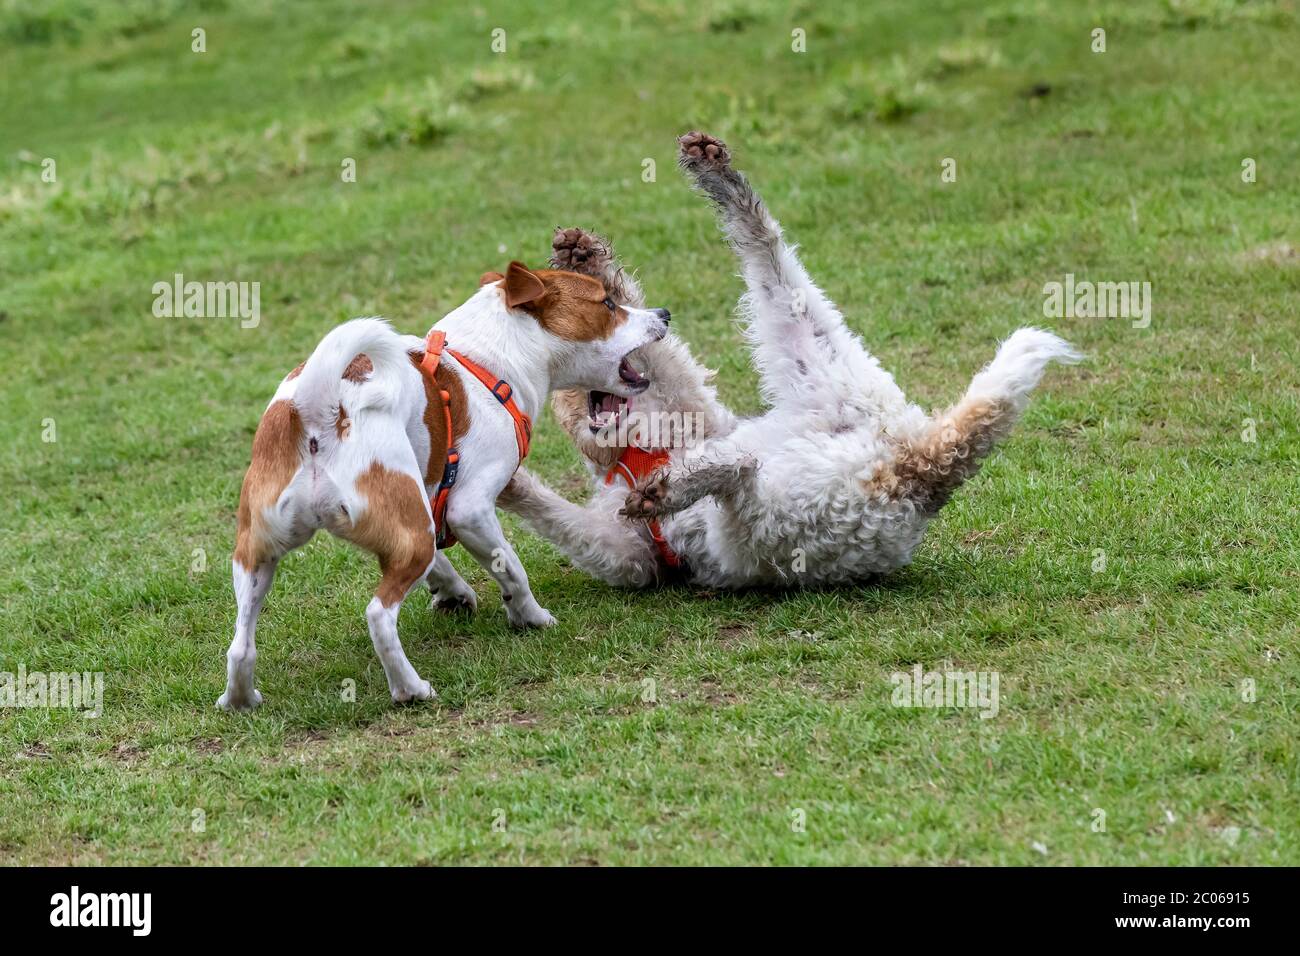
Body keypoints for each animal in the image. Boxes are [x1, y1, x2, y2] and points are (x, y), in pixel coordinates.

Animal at [219, 261, 670, 712]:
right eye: (607, 304)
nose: (664, 314)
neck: (487, 362)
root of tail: (321, 407)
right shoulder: (468, 509)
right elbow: (512, 569)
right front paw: (531, 617)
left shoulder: (420, 509)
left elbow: (442, 562)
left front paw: (453, 592)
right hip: (405, 535)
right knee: (379, 616)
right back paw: (410, 689)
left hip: (261, 553)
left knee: (240, 645)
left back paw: (240, 699)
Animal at [501, 130, 1081, 587]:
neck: (637, 448)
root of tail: (920, 467)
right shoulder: (634, 540)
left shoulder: (634, 551)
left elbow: (659, 350)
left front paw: (589, 261)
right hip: (814, 352)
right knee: (767, 245)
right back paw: (715, 170)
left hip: (761, 526)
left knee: (739, 474)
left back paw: (673, 487)